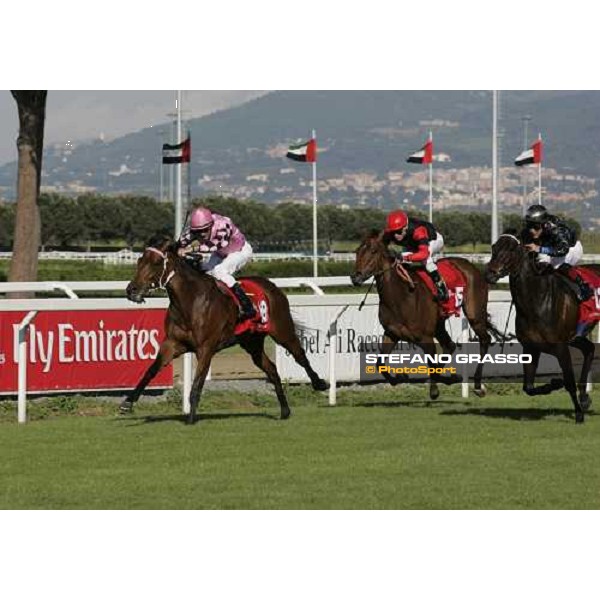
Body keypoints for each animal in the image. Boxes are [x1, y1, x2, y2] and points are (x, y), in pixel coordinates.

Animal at [123, 237, 328, 424]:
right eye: (139, 261)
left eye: (156, 262)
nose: (132, 290)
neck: (190, 301)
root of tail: (272, 286)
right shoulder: (172, 344)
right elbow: (151, 370)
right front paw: (128, 402)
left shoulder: (206, 349)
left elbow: (197, 384)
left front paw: (191, 419)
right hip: (251, 343)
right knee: (271, 368)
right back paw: (285, 410)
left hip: (282, 330)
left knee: (300, 355)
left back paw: (319, 383)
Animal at [350, 232, 500, 400]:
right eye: (357, 251)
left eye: (373, 251)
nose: (355, 277)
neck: (400, 296)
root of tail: (471, 266)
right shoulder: (392, 333)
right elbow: (380, 364)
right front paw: (400, 377)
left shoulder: (425, 337)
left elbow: (432, 365)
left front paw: (439, 386)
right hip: (439, 323)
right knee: (450, 345)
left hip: (474, 314)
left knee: (484, 339)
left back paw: (478, 385)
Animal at [486, 230, 596, 422]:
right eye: (494, 247)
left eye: (512, 250)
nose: (490, 273)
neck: (536, 300)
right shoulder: (531, 348)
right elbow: (528, 387)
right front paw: (555, 383)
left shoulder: (560, 347)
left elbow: (569, 381)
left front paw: (578, 415)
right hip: (576, 337)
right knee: (589, 349)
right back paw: (584, 397)